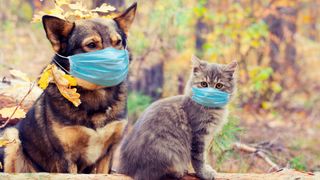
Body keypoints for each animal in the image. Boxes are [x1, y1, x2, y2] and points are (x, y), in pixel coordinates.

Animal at [1, 1, 136, 173]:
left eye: (117, 42)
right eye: (91, 45)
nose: (114, 64)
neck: (95, 97)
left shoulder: (107, 154)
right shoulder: (66, 157)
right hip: (11, 136)